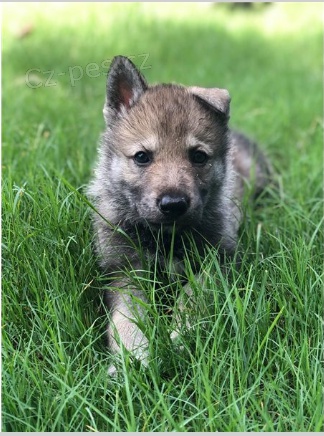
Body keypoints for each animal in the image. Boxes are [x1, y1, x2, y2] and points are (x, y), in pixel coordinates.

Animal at [87, 56, 272, 372]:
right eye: (142, 157)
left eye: (198, 156)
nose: (173, 204)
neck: (166, 238)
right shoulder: (125, 272)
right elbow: (125, 320)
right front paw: (132, 358)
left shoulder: (216, 261)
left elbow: (191, 299)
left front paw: (178, 338)